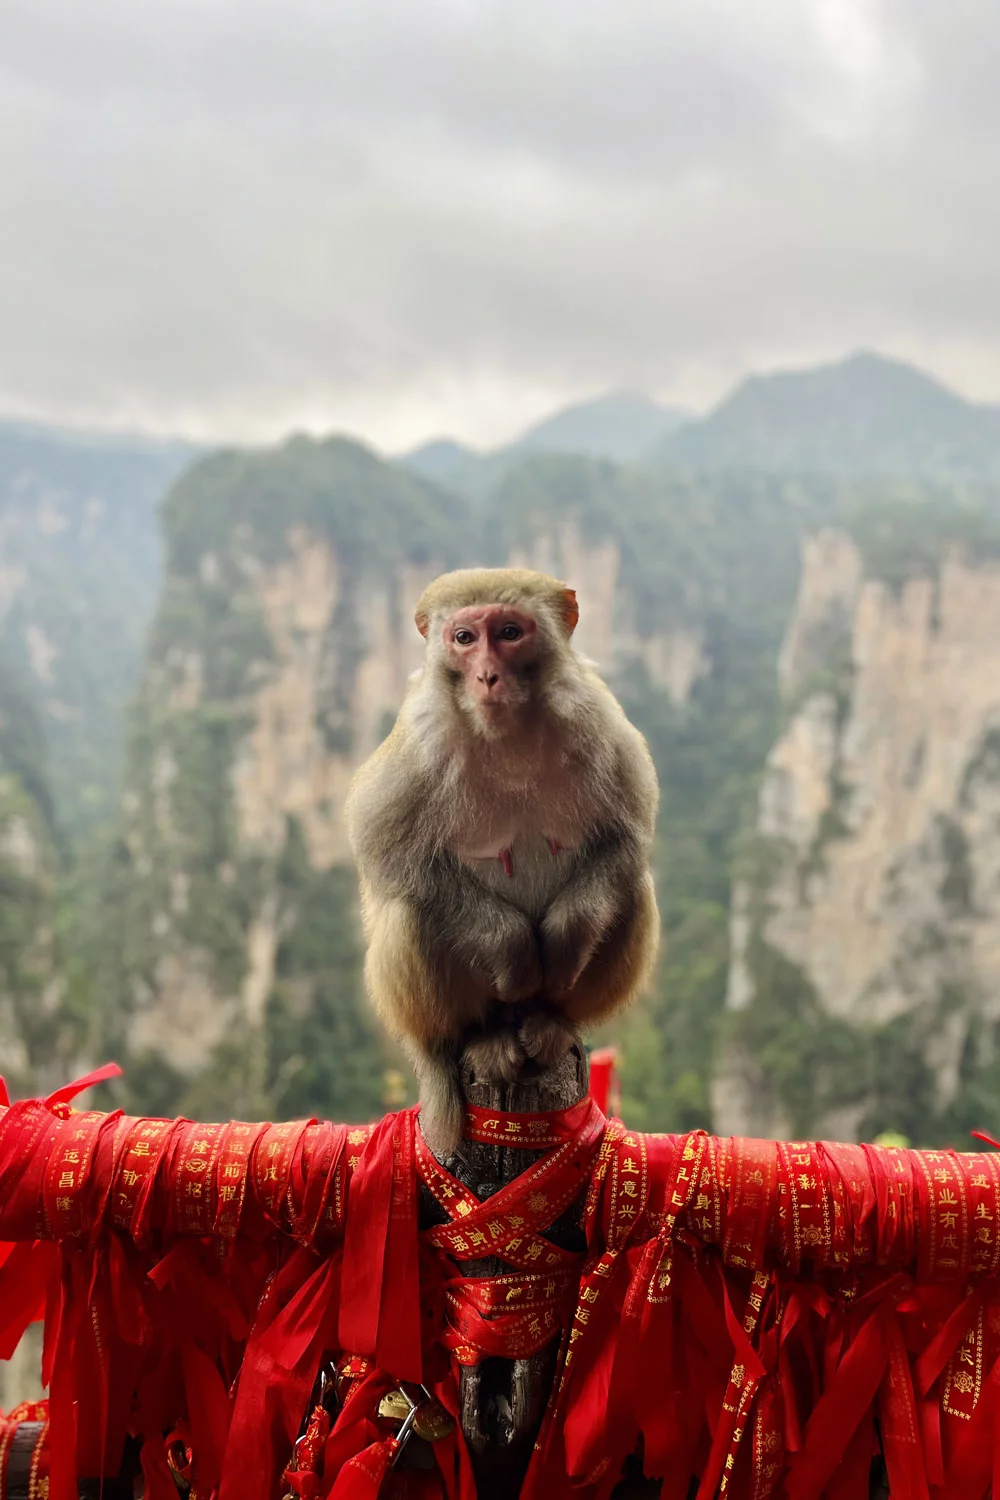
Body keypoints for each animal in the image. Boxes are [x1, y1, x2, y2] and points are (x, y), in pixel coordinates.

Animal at [344, 567, 660, 1153]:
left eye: (510, 633)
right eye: (465, 638)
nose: (487, 676)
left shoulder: (597, 717)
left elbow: (625, 838)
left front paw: (563, 939)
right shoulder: (422, 735)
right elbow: (386, 851)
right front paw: (515, 950)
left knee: (632, 887)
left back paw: (553, 1020)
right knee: (409, 911)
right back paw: (474, 1037)